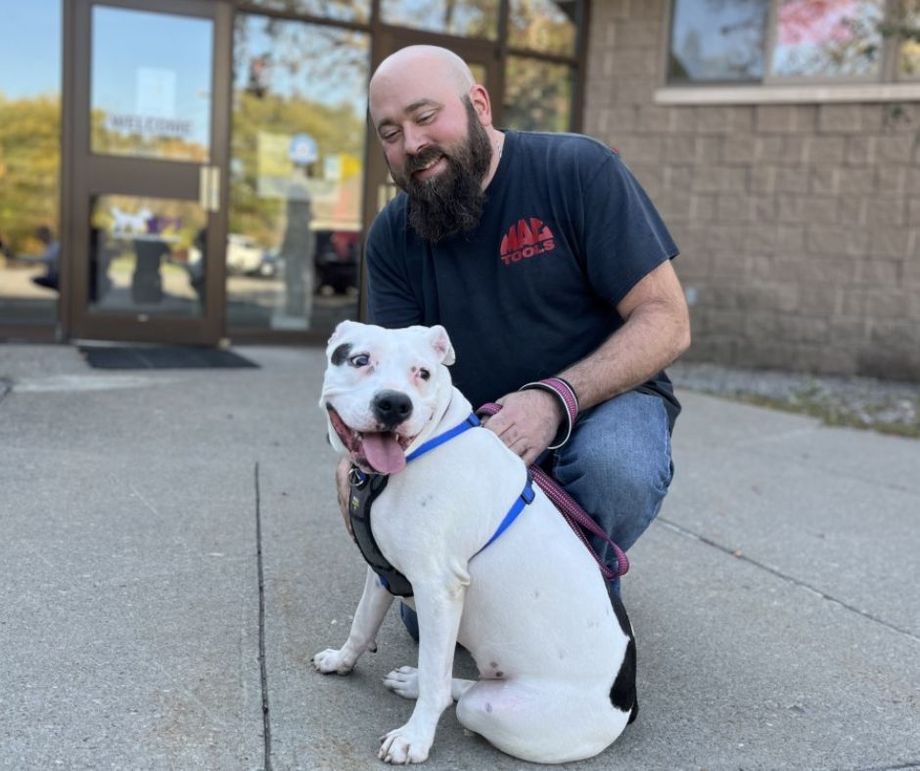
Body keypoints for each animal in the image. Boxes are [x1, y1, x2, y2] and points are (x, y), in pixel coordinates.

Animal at [312, 320, 636, 764]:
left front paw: (415, 738)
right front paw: (342, 661)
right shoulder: (381, 572)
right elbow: (362, 625)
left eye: (423, 373)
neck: (420, 449)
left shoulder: (438, 591)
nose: (395, 405)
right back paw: (412, 681)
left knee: (458, 693)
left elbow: (435, 677)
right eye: (360, 359)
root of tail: (627, 699)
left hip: (496, 711)